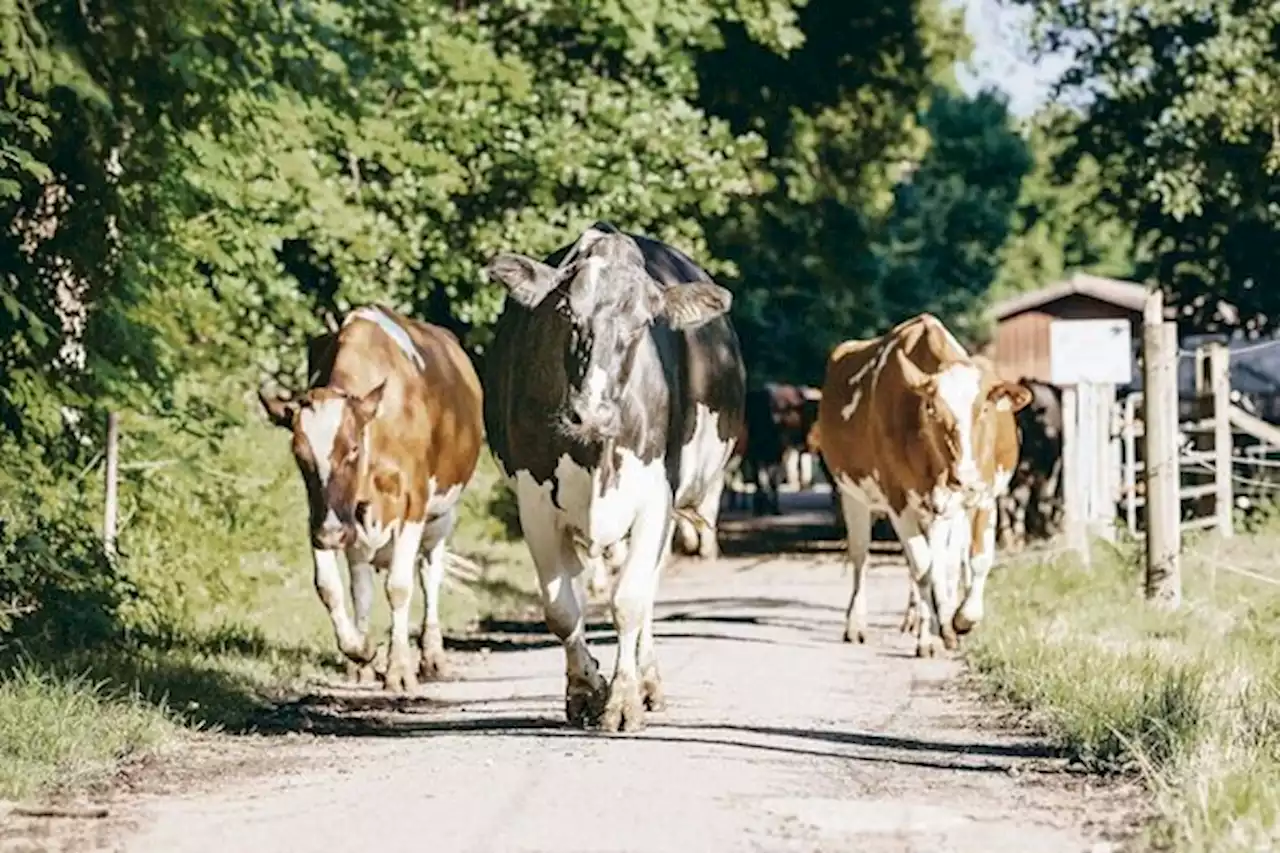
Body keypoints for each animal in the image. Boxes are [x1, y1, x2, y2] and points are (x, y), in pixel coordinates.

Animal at [259, 306, 483, 691]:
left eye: (351, 449)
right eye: (299, 454)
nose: (332, 533)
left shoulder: (414, 502)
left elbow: (400, 586)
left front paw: (399, 669)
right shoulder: (323, 515)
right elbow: (330, 587)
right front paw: (361, 650)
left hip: (443, 513)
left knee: (430, 573)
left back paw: (432, 655)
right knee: (361, 583)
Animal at [483, 220, 747, 732]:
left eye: (642, 323)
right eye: (566, 314)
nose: (590, 412)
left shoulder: (656, 500)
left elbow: (630, 602)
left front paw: (624, 699)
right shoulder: (535, 501)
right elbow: (561, 609)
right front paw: (586, 689)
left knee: (646, 591)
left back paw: (648, 681)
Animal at [819, 315, 1029, 653]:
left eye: (984, 409)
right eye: (932, 410)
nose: (964, 477)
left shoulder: (983, 496)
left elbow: (976, 560)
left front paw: (961, 619)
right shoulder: (898, 500)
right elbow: (923, 567)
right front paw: (931, 637)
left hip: (943, 511)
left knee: (945, 560)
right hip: (854, 496)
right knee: (862, 556)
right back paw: (858, 624)